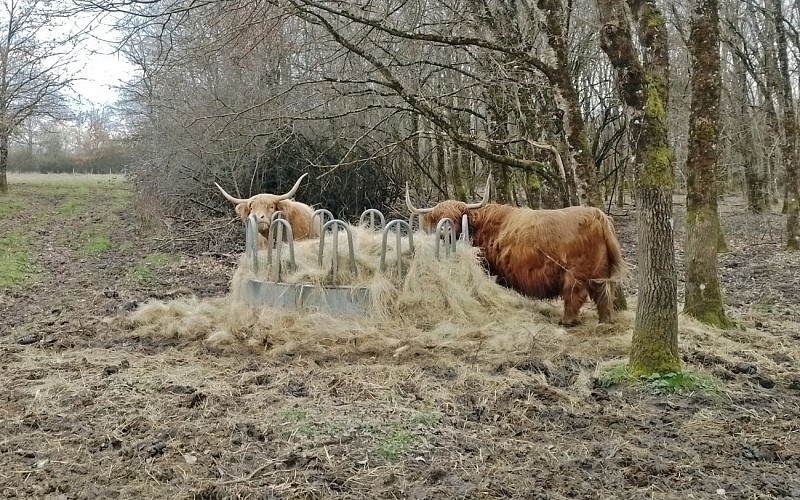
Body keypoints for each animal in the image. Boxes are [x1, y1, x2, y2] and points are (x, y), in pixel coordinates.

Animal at [406, 176, 627, 326]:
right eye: (437, 219)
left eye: (457, 218)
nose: (444, 234)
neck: (481, 227)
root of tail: (597, 214)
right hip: (600, 272)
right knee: (603, 296)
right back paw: (605, 321)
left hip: (574, 273)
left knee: (575, 295)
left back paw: (567, 321)